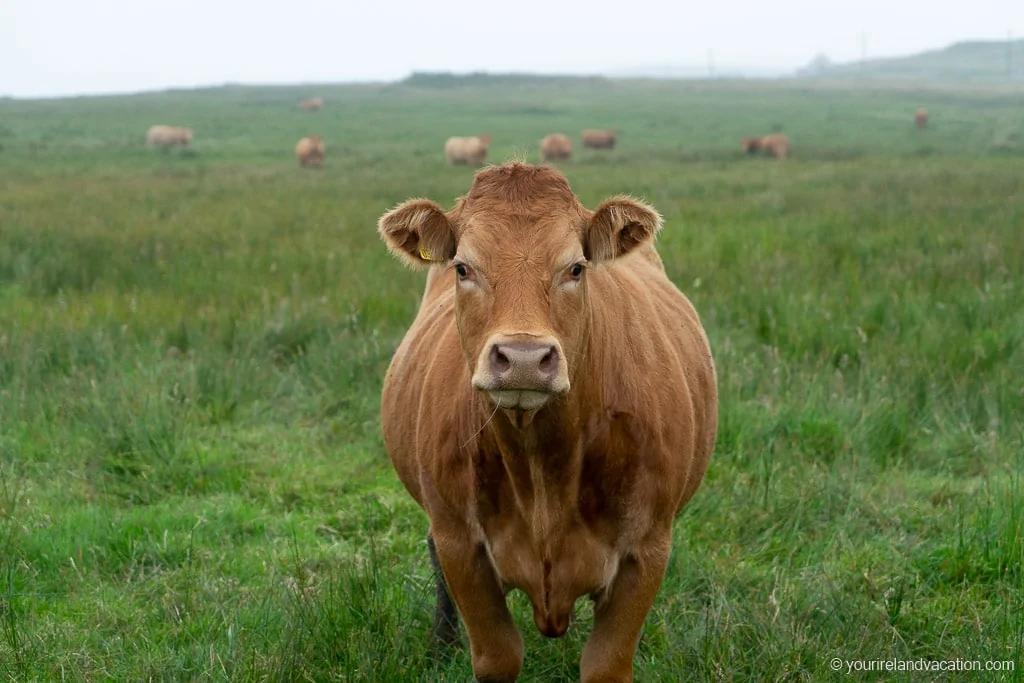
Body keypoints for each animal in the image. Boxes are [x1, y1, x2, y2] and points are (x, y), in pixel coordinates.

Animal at [378, 161, 720, 683]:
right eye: (463, 267)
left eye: (575, 267)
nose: (522, 359)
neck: (541, 468)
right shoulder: (460, 543)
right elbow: (498, 654)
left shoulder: (646, 549)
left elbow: (606, 663)